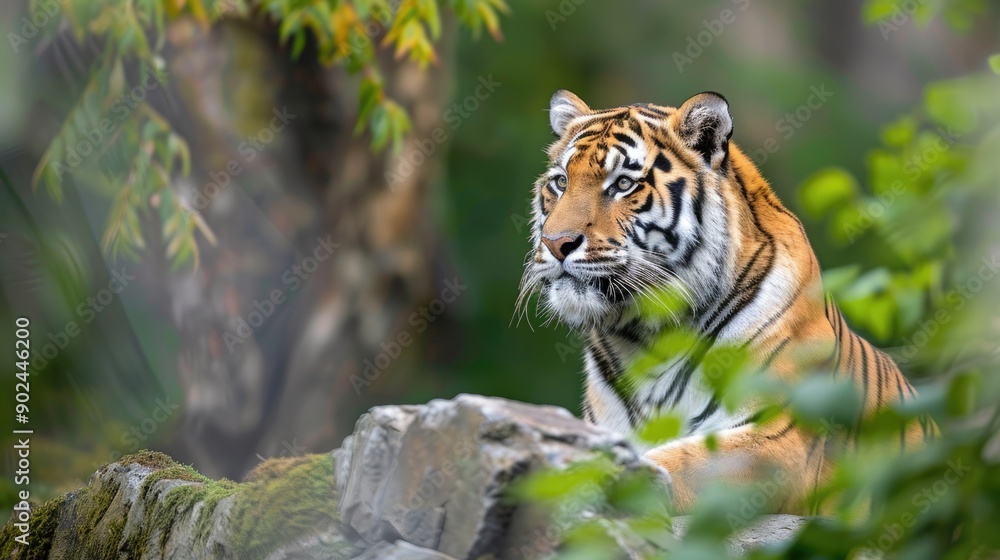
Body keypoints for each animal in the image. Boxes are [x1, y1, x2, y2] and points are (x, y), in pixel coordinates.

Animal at [517, 89, 932, 514]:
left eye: (623, 184)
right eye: (561, 182)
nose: (556, 243)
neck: (646, 338)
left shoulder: (783, 434)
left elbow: (680, 462)